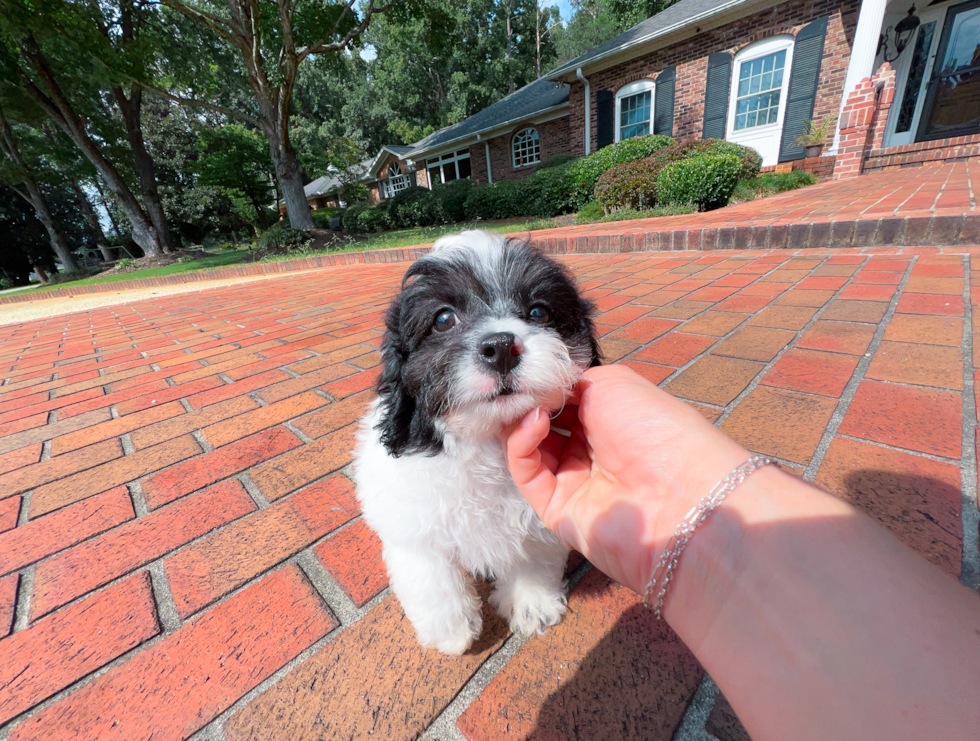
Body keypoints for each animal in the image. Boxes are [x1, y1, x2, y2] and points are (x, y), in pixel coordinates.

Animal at [352, 230, 596, 652]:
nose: (500, 347)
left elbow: (532, 554)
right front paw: (450, 630)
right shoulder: (410, 520)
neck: (488, 438)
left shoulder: (538, 512)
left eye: (539, 312)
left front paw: (531, 604)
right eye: (443, 319)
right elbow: (429, 574)